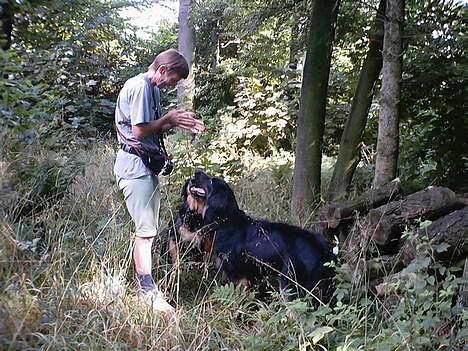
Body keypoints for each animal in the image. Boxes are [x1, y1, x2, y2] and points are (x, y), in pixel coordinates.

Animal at [183, 170, 336, 302]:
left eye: (211, 181)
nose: (196, 171)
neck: (226, 220)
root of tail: (323, 249)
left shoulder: (238, 276)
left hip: (289, 285)